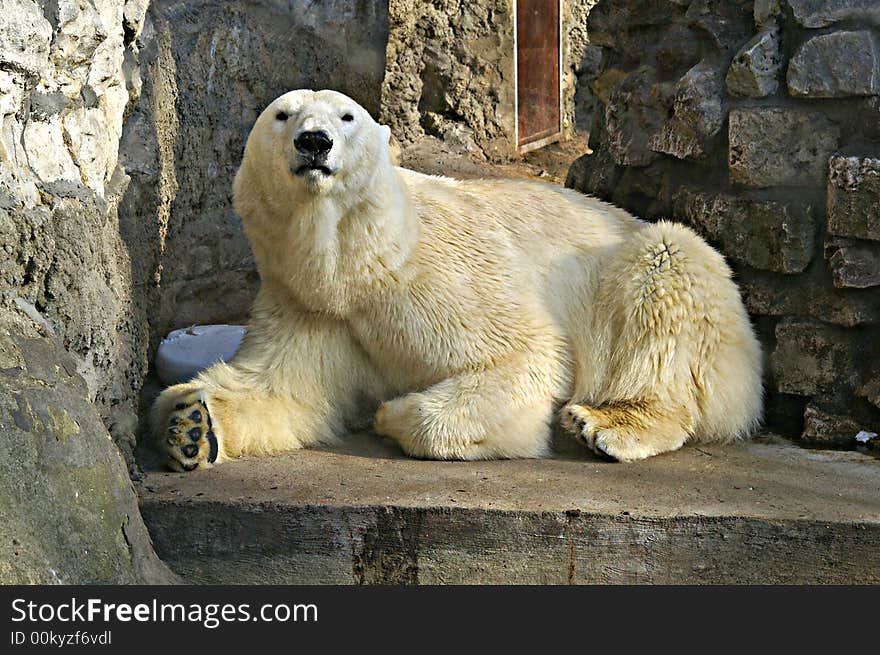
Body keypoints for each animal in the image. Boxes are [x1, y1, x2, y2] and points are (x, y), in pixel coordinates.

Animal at [153, 88, 764, 472]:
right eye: (283, 115)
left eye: (347, 117)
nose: (314, 141)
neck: (360, 265)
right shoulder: (310, 305)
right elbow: (282, 387)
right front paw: (190, 424)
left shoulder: (434, 281)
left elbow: (526, 353)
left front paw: (393, 413)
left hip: (664, 277)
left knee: (666, 269)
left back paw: (608, 424)